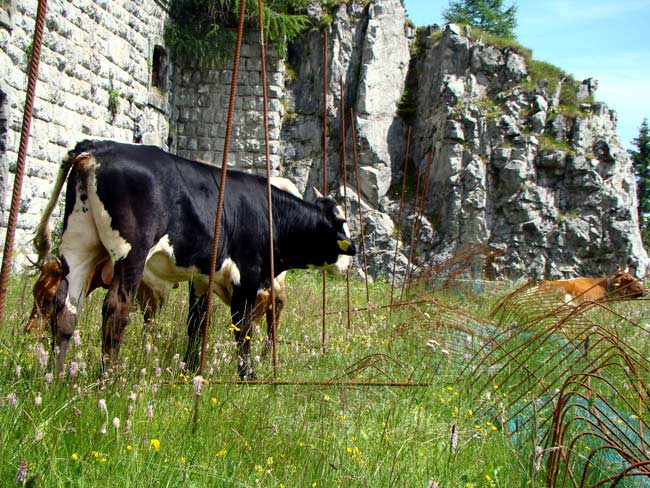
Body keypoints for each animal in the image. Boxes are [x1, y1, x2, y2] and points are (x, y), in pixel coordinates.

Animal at [34, 139, 354, 380]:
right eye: (341, 224)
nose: (350, 259)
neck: (269, 214)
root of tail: (97, 147)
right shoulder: (247, 277)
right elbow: (243, 330)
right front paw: (248, 377)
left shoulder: (201, 279)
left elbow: (197, 324)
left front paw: (189, 371)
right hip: (130, 253)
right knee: (116, 310)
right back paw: (108, 382)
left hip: (78, 246)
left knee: (65, 308)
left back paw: (55, 380)